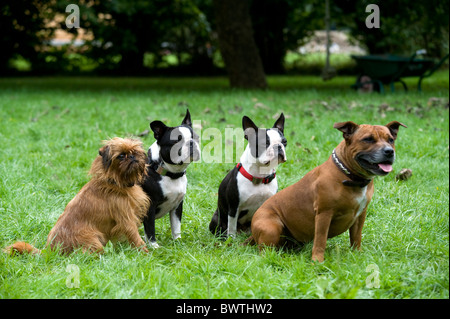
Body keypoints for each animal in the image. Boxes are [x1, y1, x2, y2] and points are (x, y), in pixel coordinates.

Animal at [3, 139, 151, 256]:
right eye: (121, 156)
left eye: (135, 152)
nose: (132, 157)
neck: (115, 182)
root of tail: (50, 251)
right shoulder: (126, 220)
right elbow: (136, 237)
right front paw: (146, 254)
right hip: (93, 239)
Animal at [142, 109, 200, 249]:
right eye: (176, 142)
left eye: (196, 138)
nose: (191, 143)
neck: (171, 175)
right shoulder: (149, 207)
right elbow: (150, 228)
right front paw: (154, 246)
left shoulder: (177, 205)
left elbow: (176, 225)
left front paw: (177, 240)